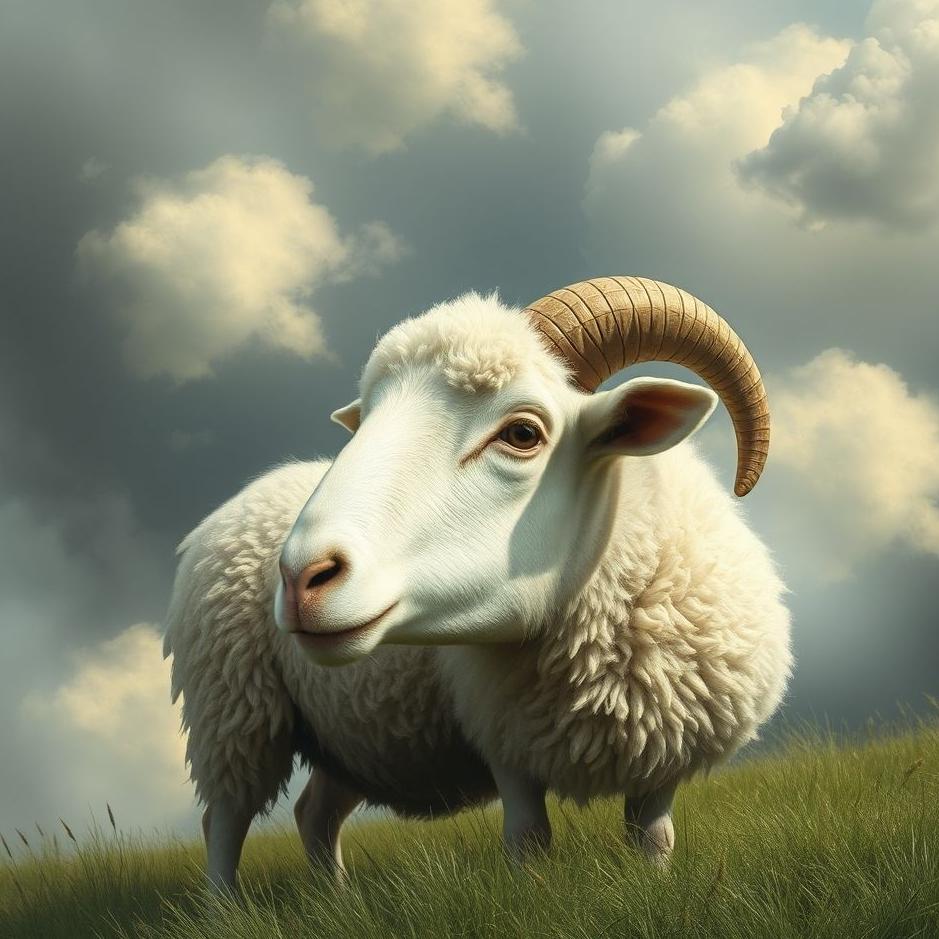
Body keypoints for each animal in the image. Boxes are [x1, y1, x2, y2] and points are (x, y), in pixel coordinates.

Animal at [165, 275, 790, 892]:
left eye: (523, 433)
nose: (301, 577)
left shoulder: (664, 754)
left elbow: (654, 838)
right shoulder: (507, 745)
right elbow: (529, 839)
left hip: (344, 736)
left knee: (314, 814)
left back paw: (337, 899)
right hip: (233, 710)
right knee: (225, 821)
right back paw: (225, 906)